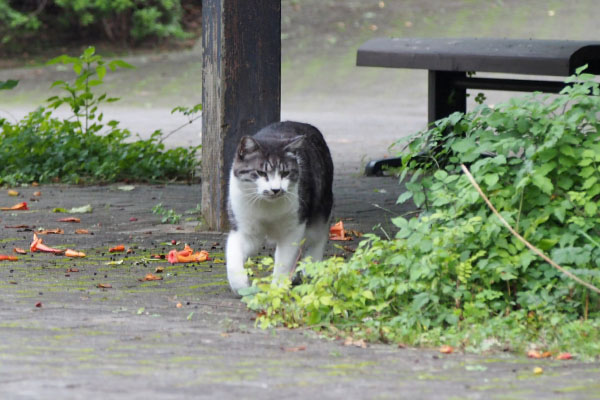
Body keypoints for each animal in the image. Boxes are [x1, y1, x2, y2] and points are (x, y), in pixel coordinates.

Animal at [226, 120, 336, 292]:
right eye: (261, 172)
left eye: (285, 173)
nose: (275, 189)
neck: (266, 208)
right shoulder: (245, 229)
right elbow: (233, 255)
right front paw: (240, 285)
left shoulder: (293, 228)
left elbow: (284, 261)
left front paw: (277, 287)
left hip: (321, 208)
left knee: (317, 239)